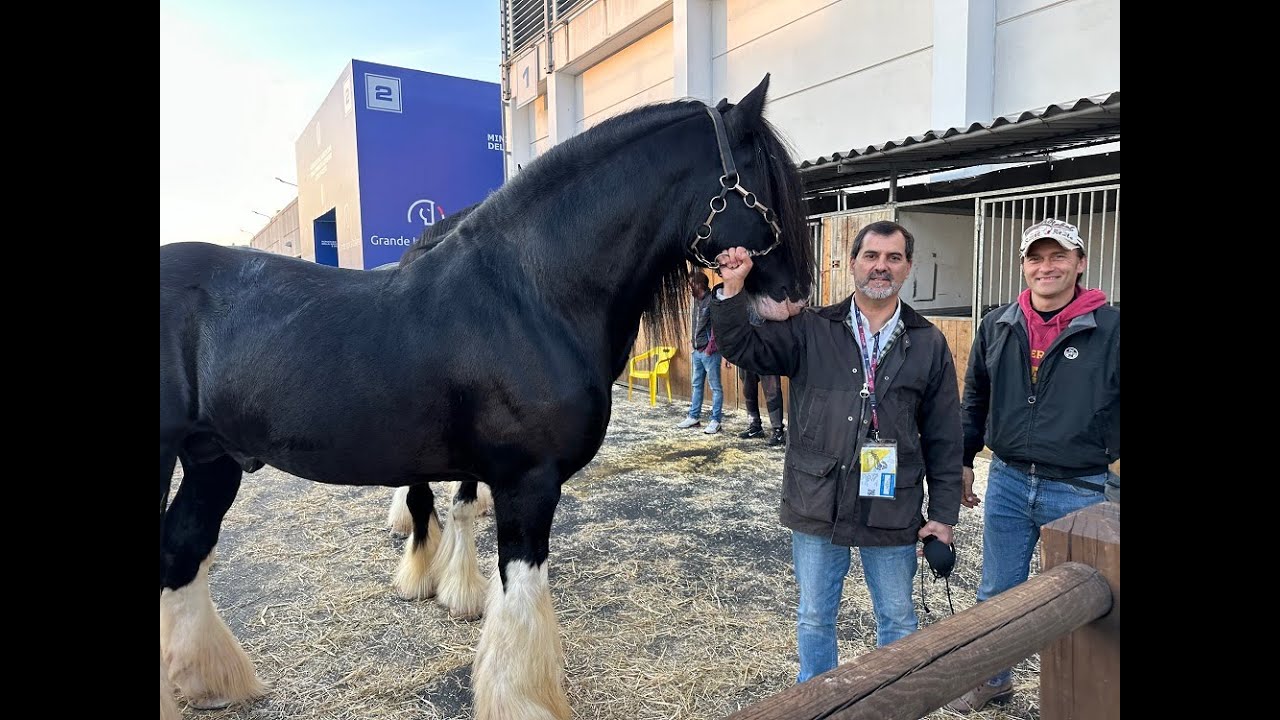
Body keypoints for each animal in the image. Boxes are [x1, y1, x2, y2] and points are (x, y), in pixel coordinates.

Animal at [159, 74, 814, 720]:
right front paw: (524, 699)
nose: (794, 299)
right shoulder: (527, 480)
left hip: (212, 460)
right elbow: (520, 592)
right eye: (763, 176)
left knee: (183, 552)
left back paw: (211, 680)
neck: (530, 294)